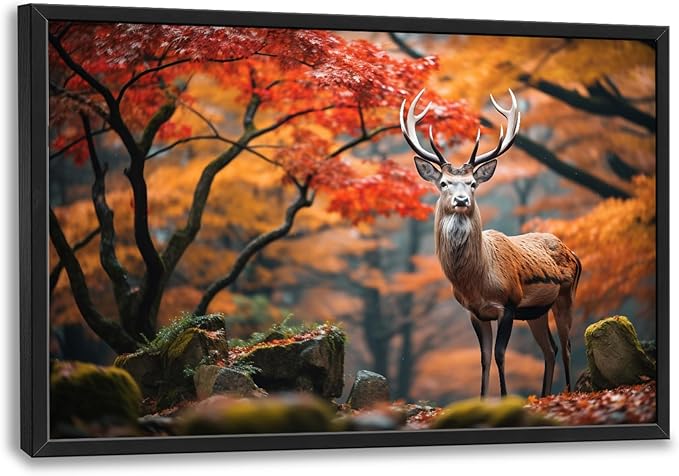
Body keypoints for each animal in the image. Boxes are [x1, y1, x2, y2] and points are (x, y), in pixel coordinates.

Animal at [400, 89, 581, 398]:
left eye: (473, 183)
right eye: (444, 183)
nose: (462, 200)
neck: (478, 281)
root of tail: (573, 253)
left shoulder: (508, 303)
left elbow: (499, 355)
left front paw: (506, 397)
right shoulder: (475, 313)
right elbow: (483, 358)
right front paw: (482, 399)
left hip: (566, 295)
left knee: (567, 345)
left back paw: (567, 392)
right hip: (536, 312)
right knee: (550, 349)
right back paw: (544, 394)